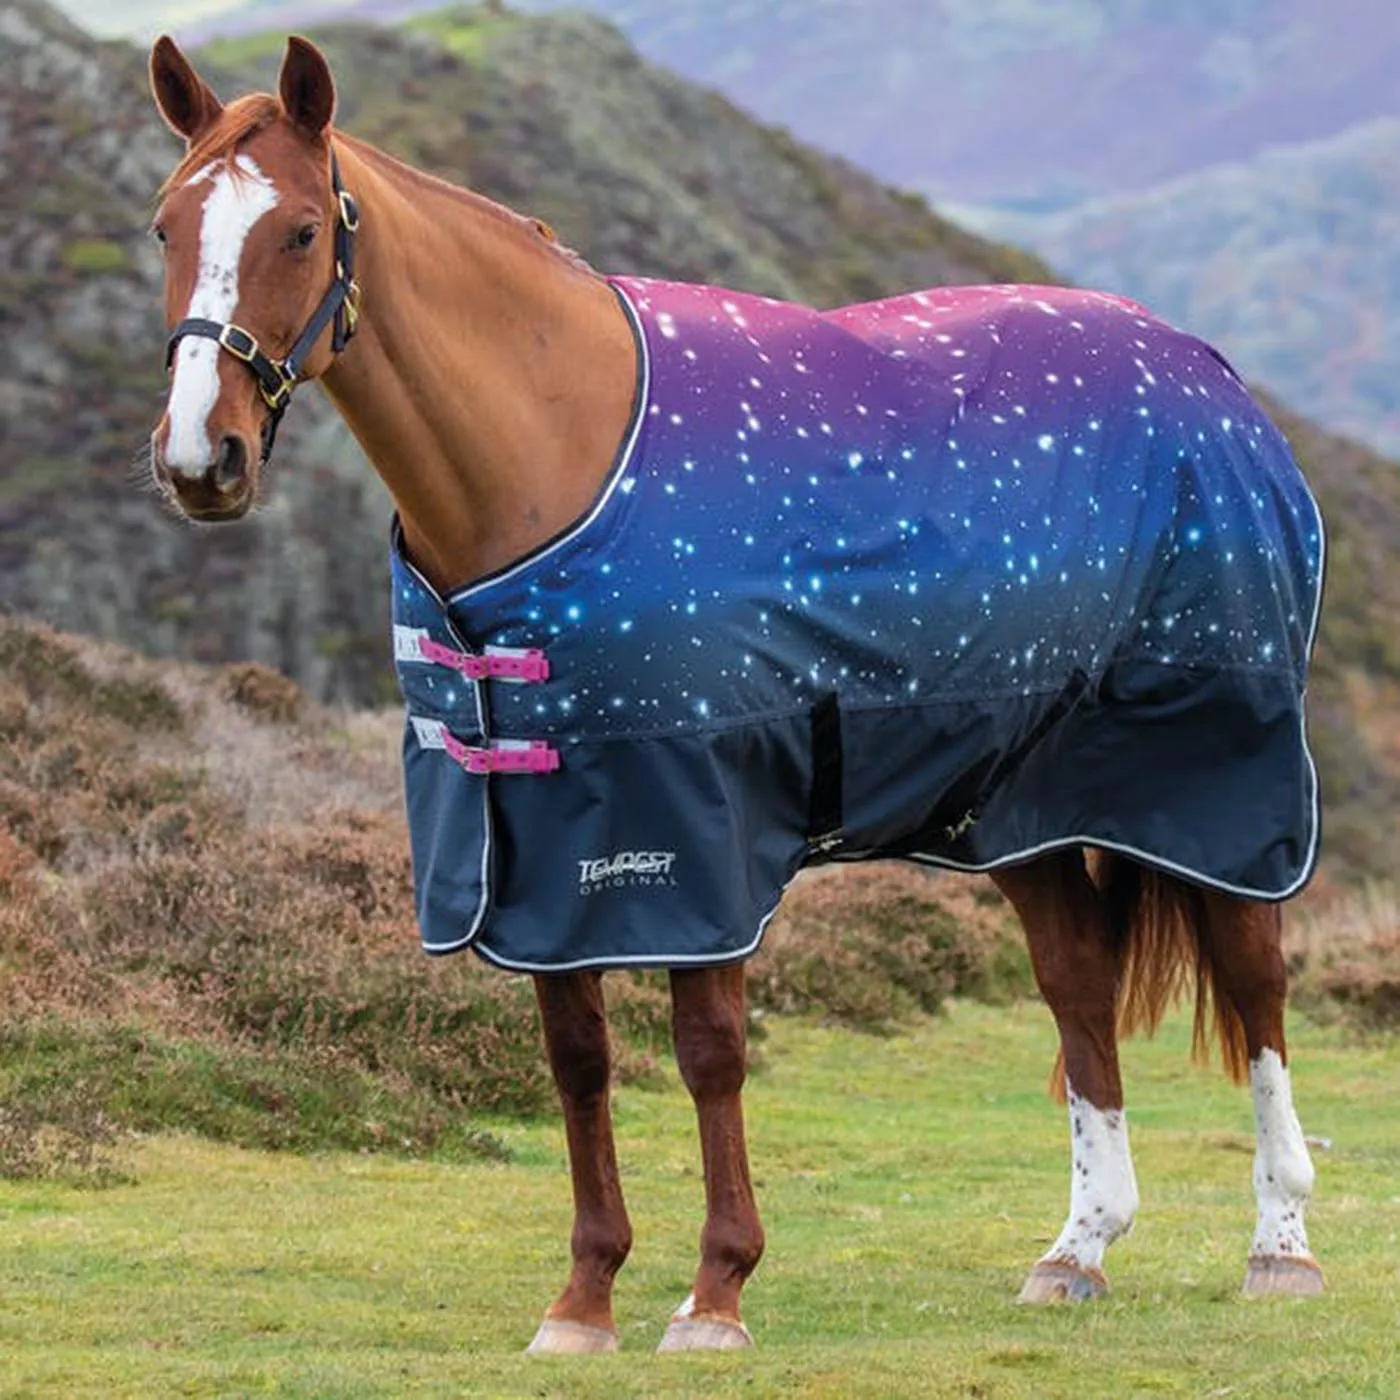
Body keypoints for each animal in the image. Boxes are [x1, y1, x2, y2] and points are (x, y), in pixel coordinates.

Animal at [145, 35, 1326, 1353]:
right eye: (164, 226)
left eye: (299, 230)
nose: (199, 458)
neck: (554, 455)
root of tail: (1213, 383)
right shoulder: (546, 851)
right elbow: (577, 1056)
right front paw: (584, 1295)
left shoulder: (694, 827)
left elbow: (708, 1050)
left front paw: (715, 1288)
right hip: (1021, 802)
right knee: (1076, 986)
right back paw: (1077, 1247)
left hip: (1210, 769)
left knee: (1254, 974)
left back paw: (1279, 1243)